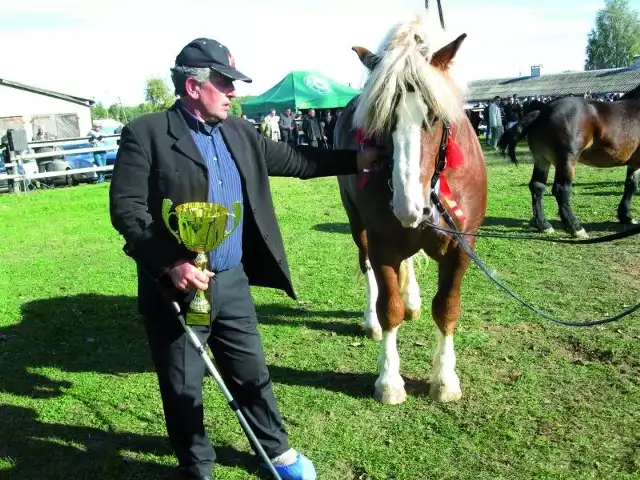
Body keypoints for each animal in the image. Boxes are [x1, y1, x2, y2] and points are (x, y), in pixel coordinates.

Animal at [332, 14, 488, 404]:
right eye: (383, 120)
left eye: (434, 116)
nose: (408, 206)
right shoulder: (383, 244)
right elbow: (390, 308)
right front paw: (389, 381)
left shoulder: (461, 246)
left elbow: (446, 307)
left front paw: (445, 379)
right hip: (358, 226)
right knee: (367, 265)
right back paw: (371, 320)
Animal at [500, 84, 640, 240]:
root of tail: (543, 112)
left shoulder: (634, 163)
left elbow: (631, 185)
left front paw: (626, 216)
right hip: (567, 159)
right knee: (561, 190)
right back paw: (575, 227)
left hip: (542, 159)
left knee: (537, 186)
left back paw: (544, 225)